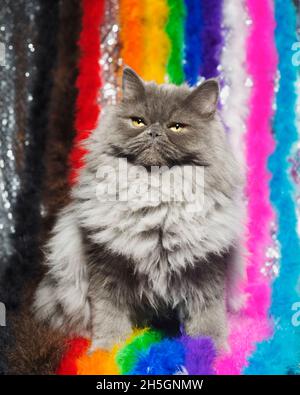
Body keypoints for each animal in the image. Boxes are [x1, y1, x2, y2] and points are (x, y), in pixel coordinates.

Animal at [33, 68, 244, 352]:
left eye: (176, 127)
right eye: (138, 122)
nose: (154, 132)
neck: (155, 202)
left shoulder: (205, 267)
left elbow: (208, 315)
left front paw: (211, 349)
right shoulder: (106, 266)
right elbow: (108, 313)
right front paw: (106, 348)